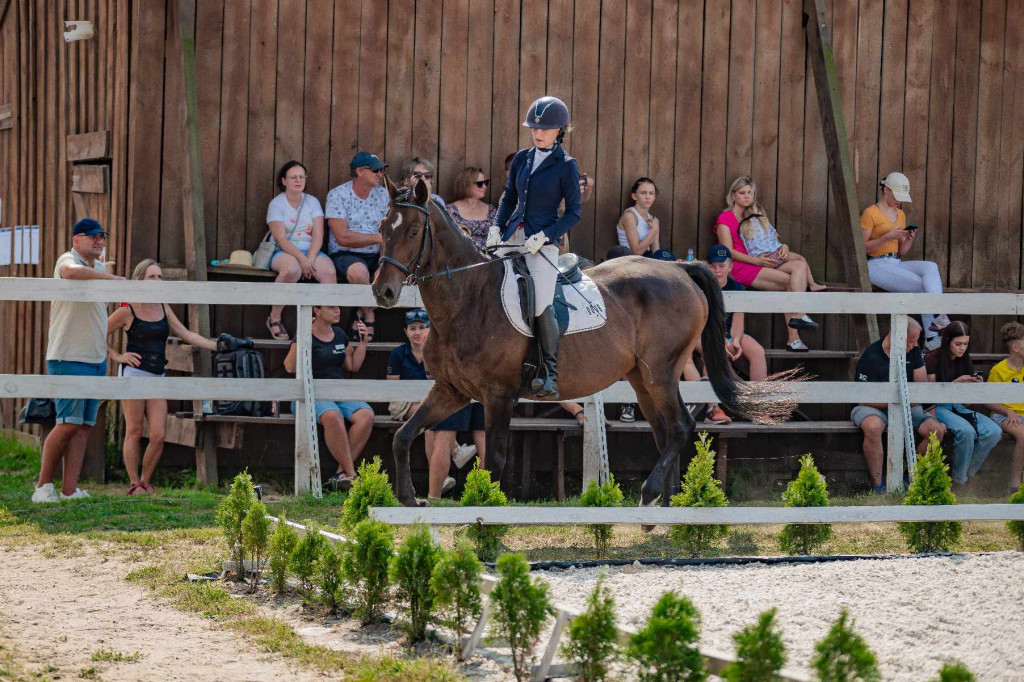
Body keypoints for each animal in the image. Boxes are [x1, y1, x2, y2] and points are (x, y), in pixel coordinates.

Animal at [372, 175, 757, 503]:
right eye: (381, 228)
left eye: (413, 230)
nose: (382, 291)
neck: (469, 297)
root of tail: (679, 269)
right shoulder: (451, 390)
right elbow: (402, 436)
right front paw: (408, 498)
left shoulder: (498, 395)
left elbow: (493, 461)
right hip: (642, 379)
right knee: (665, 432)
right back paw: (662, 509)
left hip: (660, 373)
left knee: (679, 428)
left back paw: (651, 495)